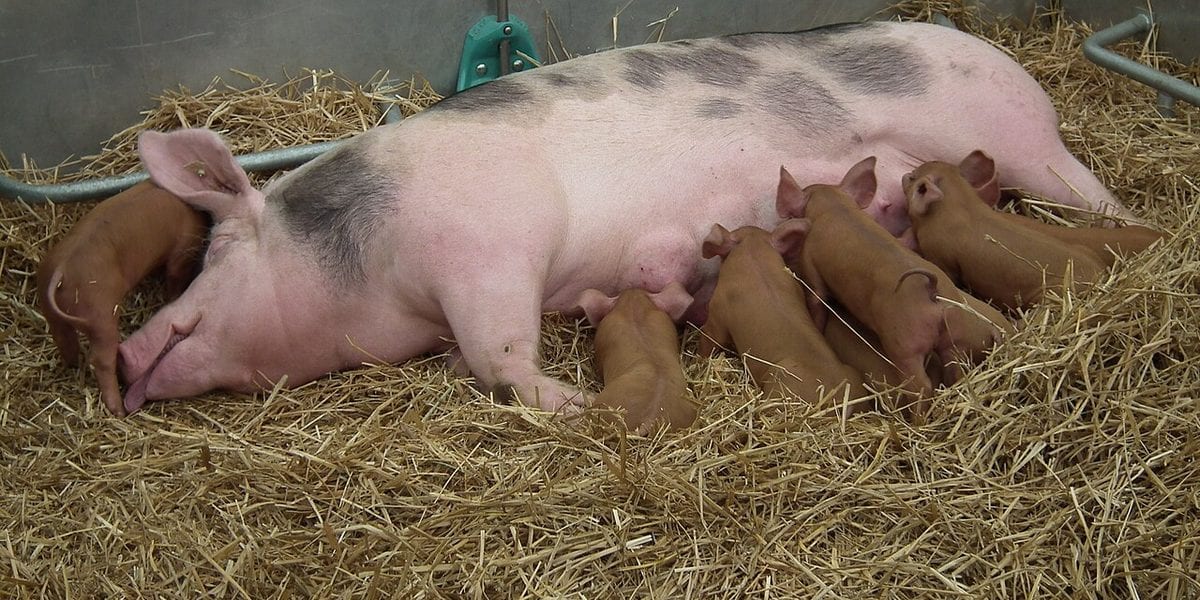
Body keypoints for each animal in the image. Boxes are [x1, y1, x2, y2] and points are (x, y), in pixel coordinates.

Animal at [36, 181, 207, 416]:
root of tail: (61, 270)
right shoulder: (180, 253)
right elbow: (174, 279)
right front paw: (174, 296)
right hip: (101, 315)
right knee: (101, 360)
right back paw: (118, 411)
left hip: (52, 310)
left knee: (63, 338)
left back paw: (73, 365)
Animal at [903, 151, 1107, 311]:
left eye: (913, 178)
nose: (906, 174)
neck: (957, 205)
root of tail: (1098, 275)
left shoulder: (941, 256)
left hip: (1049, 294)